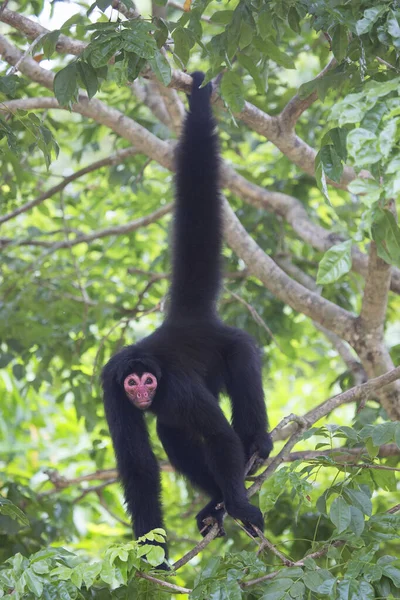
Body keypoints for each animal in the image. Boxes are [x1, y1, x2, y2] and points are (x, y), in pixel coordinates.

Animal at [101, 72, 274, 560]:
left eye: (148, 379)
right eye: (131, 383)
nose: (144, 391)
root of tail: (185, 322)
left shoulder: (175, 386)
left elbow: (219, 438)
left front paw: (241, 504)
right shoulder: (110, 387)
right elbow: (139, 466)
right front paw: (150, 556)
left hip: (233, 347)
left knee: (240, 377)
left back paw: (257, 447)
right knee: (171, 432)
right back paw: (214, 500)